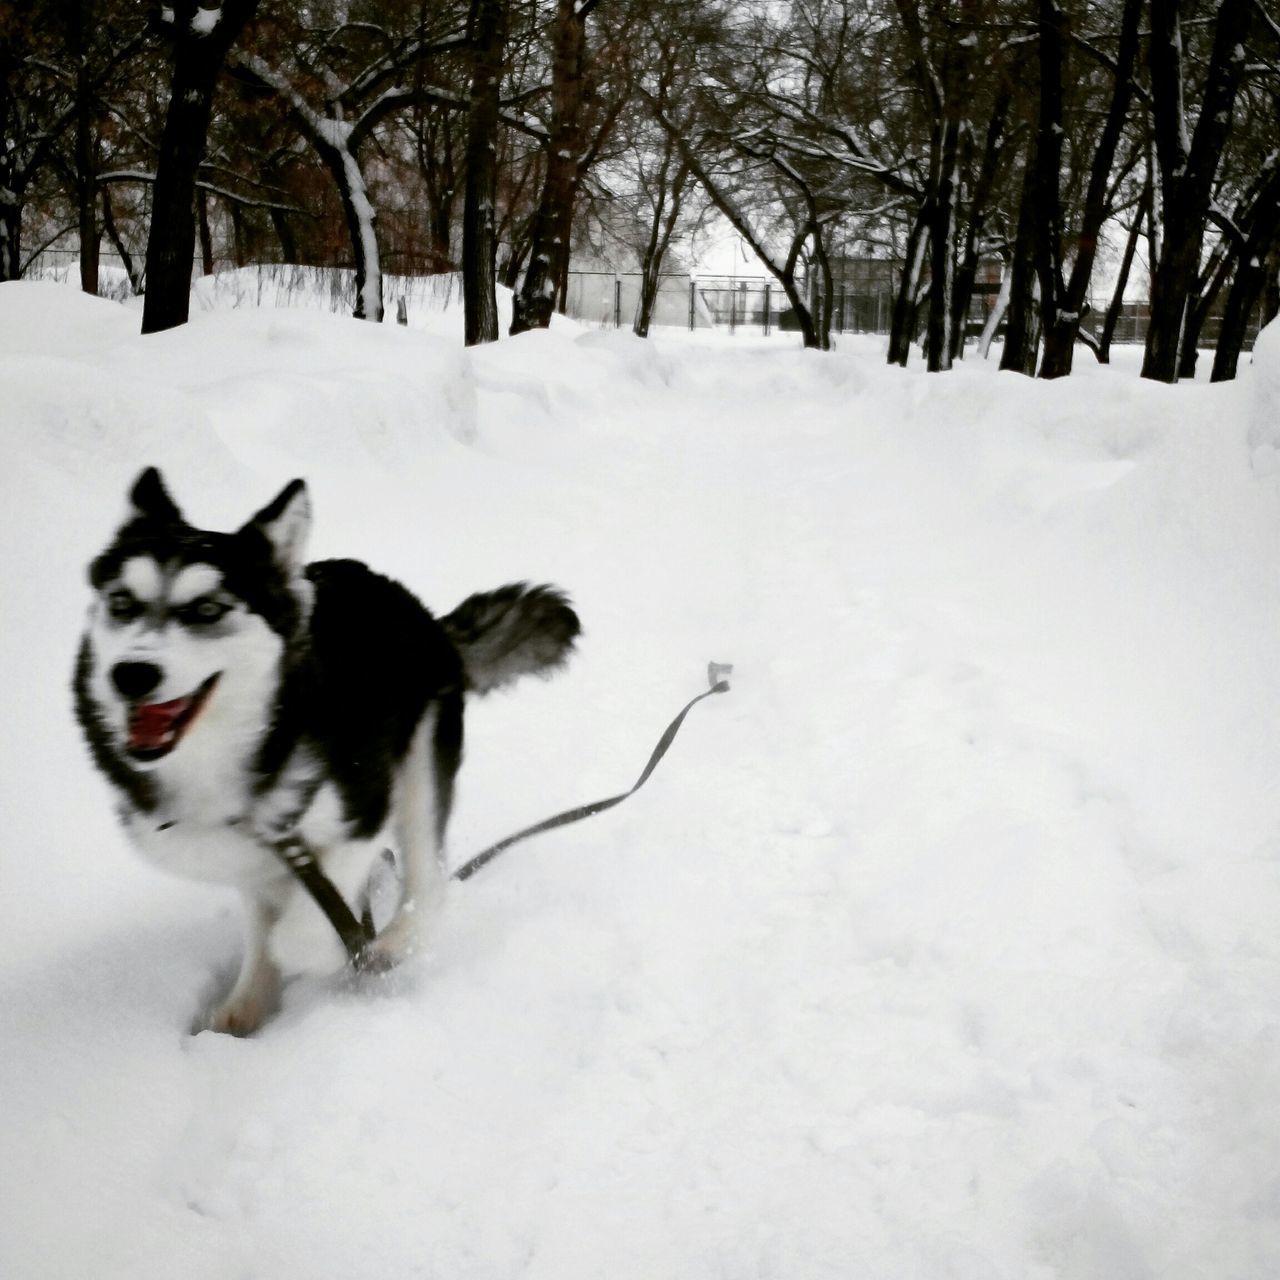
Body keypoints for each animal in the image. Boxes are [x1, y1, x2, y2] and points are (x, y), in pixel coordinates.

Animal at [76, 465, 581, 1034]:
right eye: (122, 603)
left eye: (207, 608)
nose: (132, 674)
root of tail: (416, 611)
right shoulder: (246, 852)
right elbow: (271, 920)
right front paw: (249, 1002)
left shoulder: (362, 812)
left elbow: (304, 931)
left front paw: (330, 953)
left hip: (419, 768)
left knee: (426, 881)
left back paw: (389, 943)